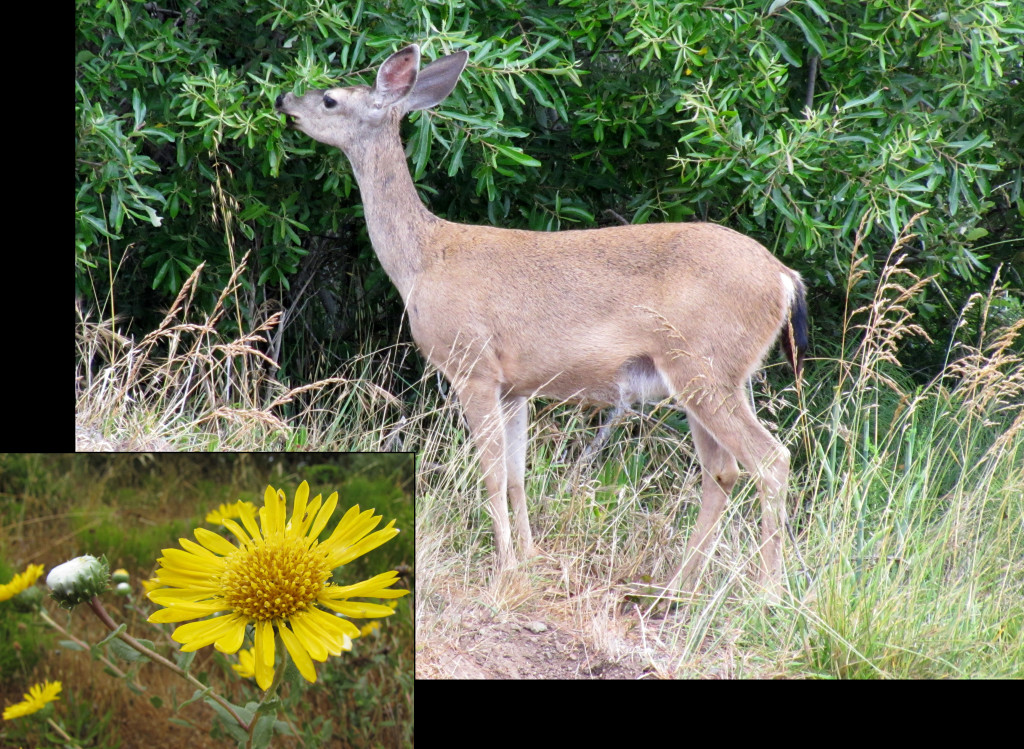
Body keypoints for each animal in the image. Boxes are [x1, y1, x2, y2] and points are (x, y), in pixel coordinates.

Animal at [278, 42, 806, 602]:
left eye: (330, 99)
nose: (284, 99)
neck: (422, 261)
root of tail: (783, 277)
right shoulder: (516, 386)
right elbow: (516, 475)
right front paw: (530, 559)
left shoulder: (473, 365)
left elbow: (489, 474)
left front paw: (502, 569)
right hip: (716, 374)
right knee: (722, 470)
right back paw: (677, 587)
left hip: (702, 365)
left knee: (770, 461)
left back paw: (766, 592)